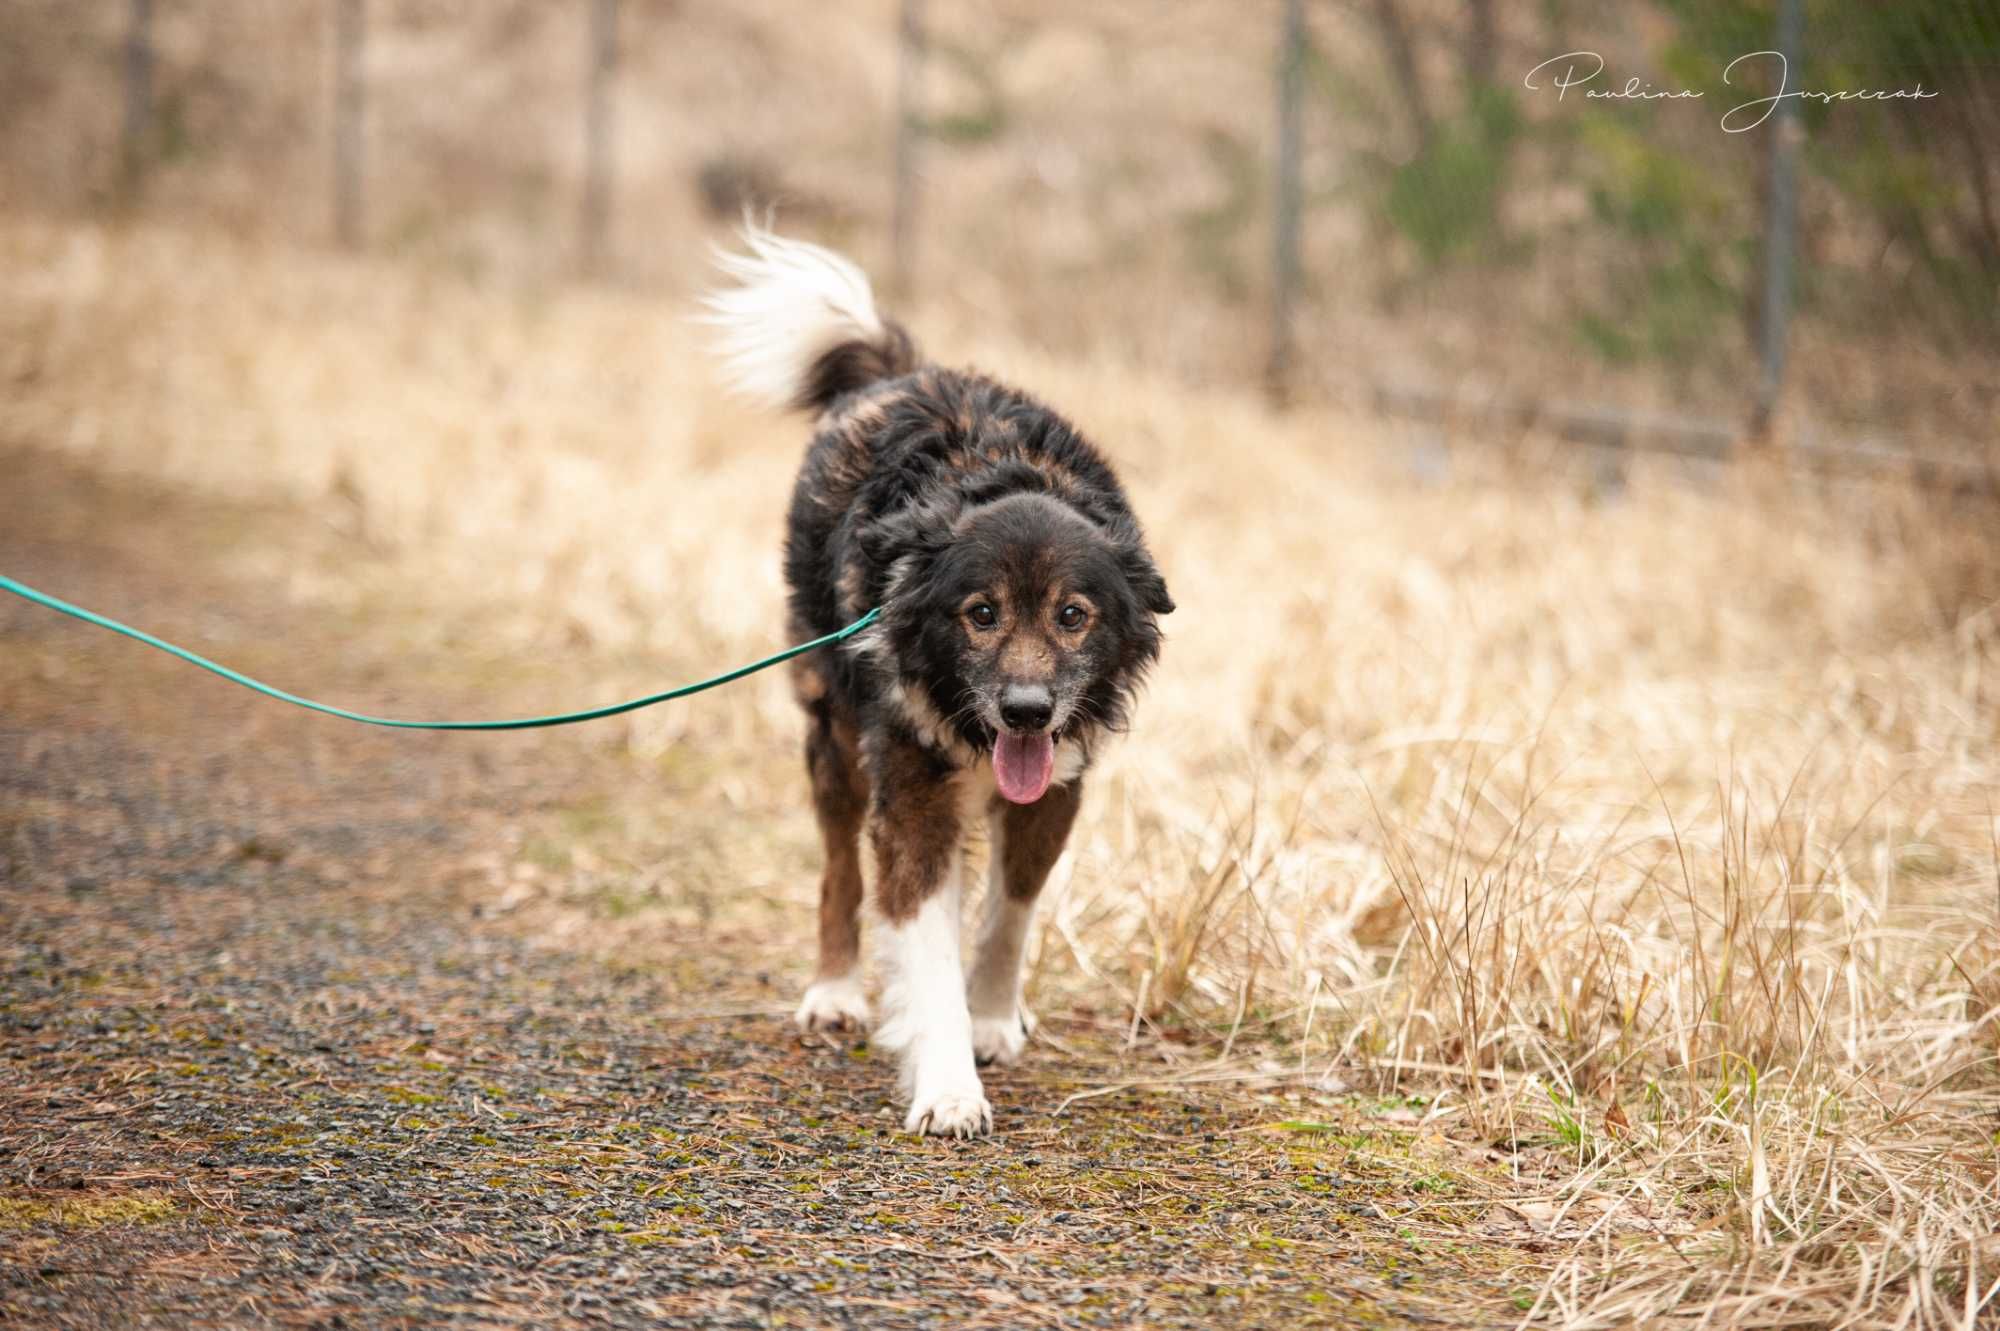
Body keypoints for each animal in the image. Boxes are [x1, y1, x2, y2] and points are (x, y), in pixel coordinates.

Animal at [704, 225, 1168, 1127]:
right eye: (979, 613)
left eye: (1073, 614)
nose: (1026, 711)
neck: (1004, 474)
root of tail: (896, 373)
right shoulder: (911, 788)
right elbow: (919, 928)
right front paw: (949, 1083)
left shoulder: (1057, 784)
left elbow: (1009, 912)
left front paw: (989, 1017)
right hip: (834, 731)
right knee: (841, 870)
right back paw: (834, 990)